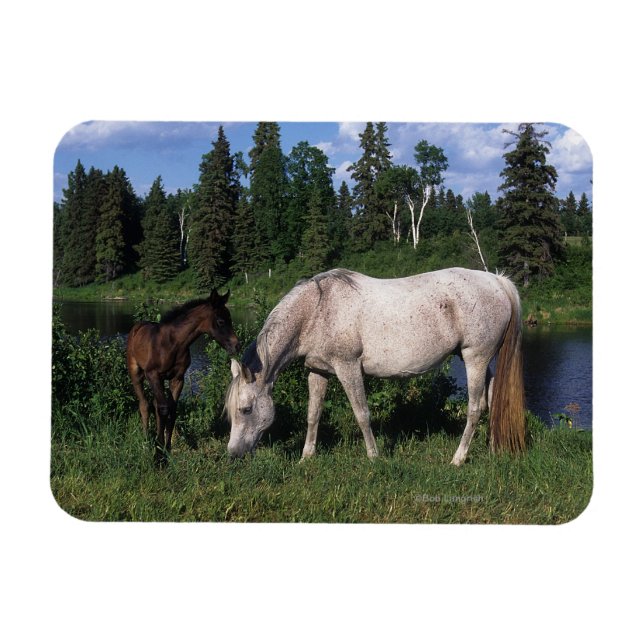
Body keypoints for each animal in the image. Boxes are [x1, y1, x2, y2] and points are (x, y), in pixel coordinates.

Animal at [127, 287, 241, 464]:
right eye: (221, 321)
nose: (237, 346)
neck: (173, 344)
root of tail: (137, 327)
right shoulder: (153, 375)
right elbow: (163, 409)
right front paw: (158, 454)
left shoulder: (178, 378)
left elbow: (172, 410)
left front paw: (167, 449)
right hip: (136, 373)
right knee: (144, 404)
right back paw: (146, 440)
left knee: (155, 403)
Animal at [225, 268, 525, 465]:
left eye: (246, 409)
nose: (233, 454)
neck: (316, 309)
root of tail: (497, 281)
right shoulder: (318, 372)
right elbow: (313, 414)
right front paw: (306, 457)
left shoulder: (348, 368)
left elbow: (362, 414)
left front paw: (373, 456)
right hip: (478, 361)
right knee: (491, 400)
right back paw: (492, 449)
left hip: (476, 358)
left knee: (474, 408)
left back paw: (458, 459)